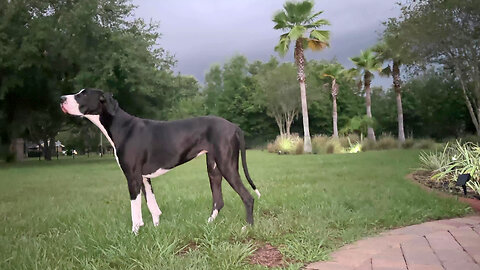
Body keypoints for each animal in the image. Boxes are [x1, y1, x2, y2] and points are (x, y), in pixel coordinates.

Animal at [62, 88, 262, 234]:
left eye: (83, 94)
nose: (61, 98)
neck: (122, 126)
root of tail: (234, 126)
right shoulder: (143, 178)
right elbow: (152, 205)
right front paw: (156, 229)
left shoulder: (132, 178)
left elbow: (135, 209)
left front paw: (134, 233)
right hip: (213, 168)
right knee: (218, 201)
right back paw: (209, 223)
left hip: (227, 166)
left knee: (248, 197)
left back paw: (247, 227)